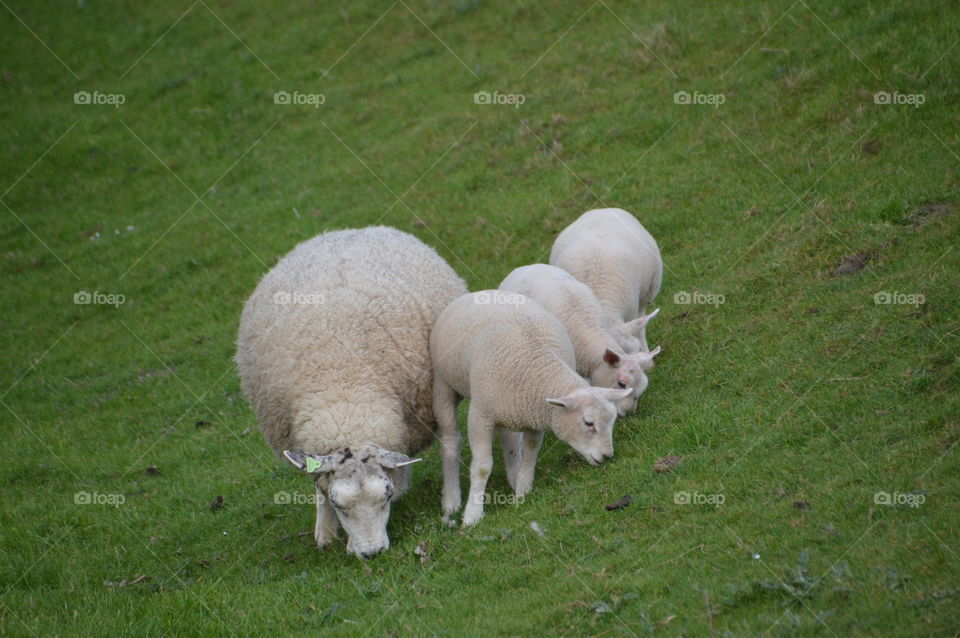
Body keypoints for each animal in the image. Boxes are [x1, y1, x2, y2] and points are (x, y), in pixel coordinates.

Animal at [236, 226, 466, 558]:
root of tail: (350, 230)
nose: (372, 553)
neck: (346, 391)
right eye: (338, 504)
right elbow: (319, 484)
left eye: (384, 497)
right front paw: (325, 533)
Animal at [430, 291, 633, 527]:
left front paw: (522, 492)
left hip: (507, 407)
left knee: (508, 440)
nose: (607, 456)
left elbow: (530, 454)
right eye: (589, 423)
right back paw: (451, 500)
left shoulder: (534, 416)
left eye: (612, 421)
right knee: (450, 437)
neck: (536, 365)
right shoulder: (480, 416)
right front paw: (472, 515)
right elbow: (482, 467)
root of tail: (479, 292)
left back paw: (512, 476)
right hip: (443, 383)